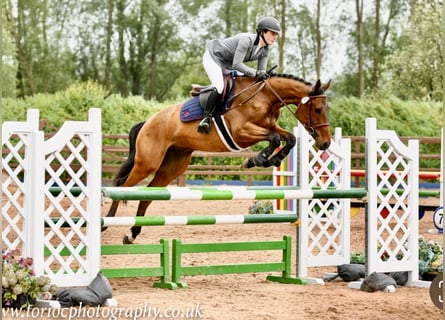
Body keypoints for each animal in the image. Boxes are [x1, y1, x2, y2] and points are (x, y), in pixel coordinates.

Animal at [106, 73, 332, 242]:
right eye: (317, 109)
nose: (325, 143)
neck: (265, 97)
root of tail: (147, 122)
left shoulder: (270, 127)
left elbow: (289, 138)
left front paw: (268, 159)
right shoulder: (241, 132)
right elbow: (275, 138)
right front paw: (257, 160)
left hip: (171, 167)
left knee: (146, 196)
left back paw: (132, 234)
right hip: (147, 163)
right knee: (122, 187)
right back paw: (106, 223)